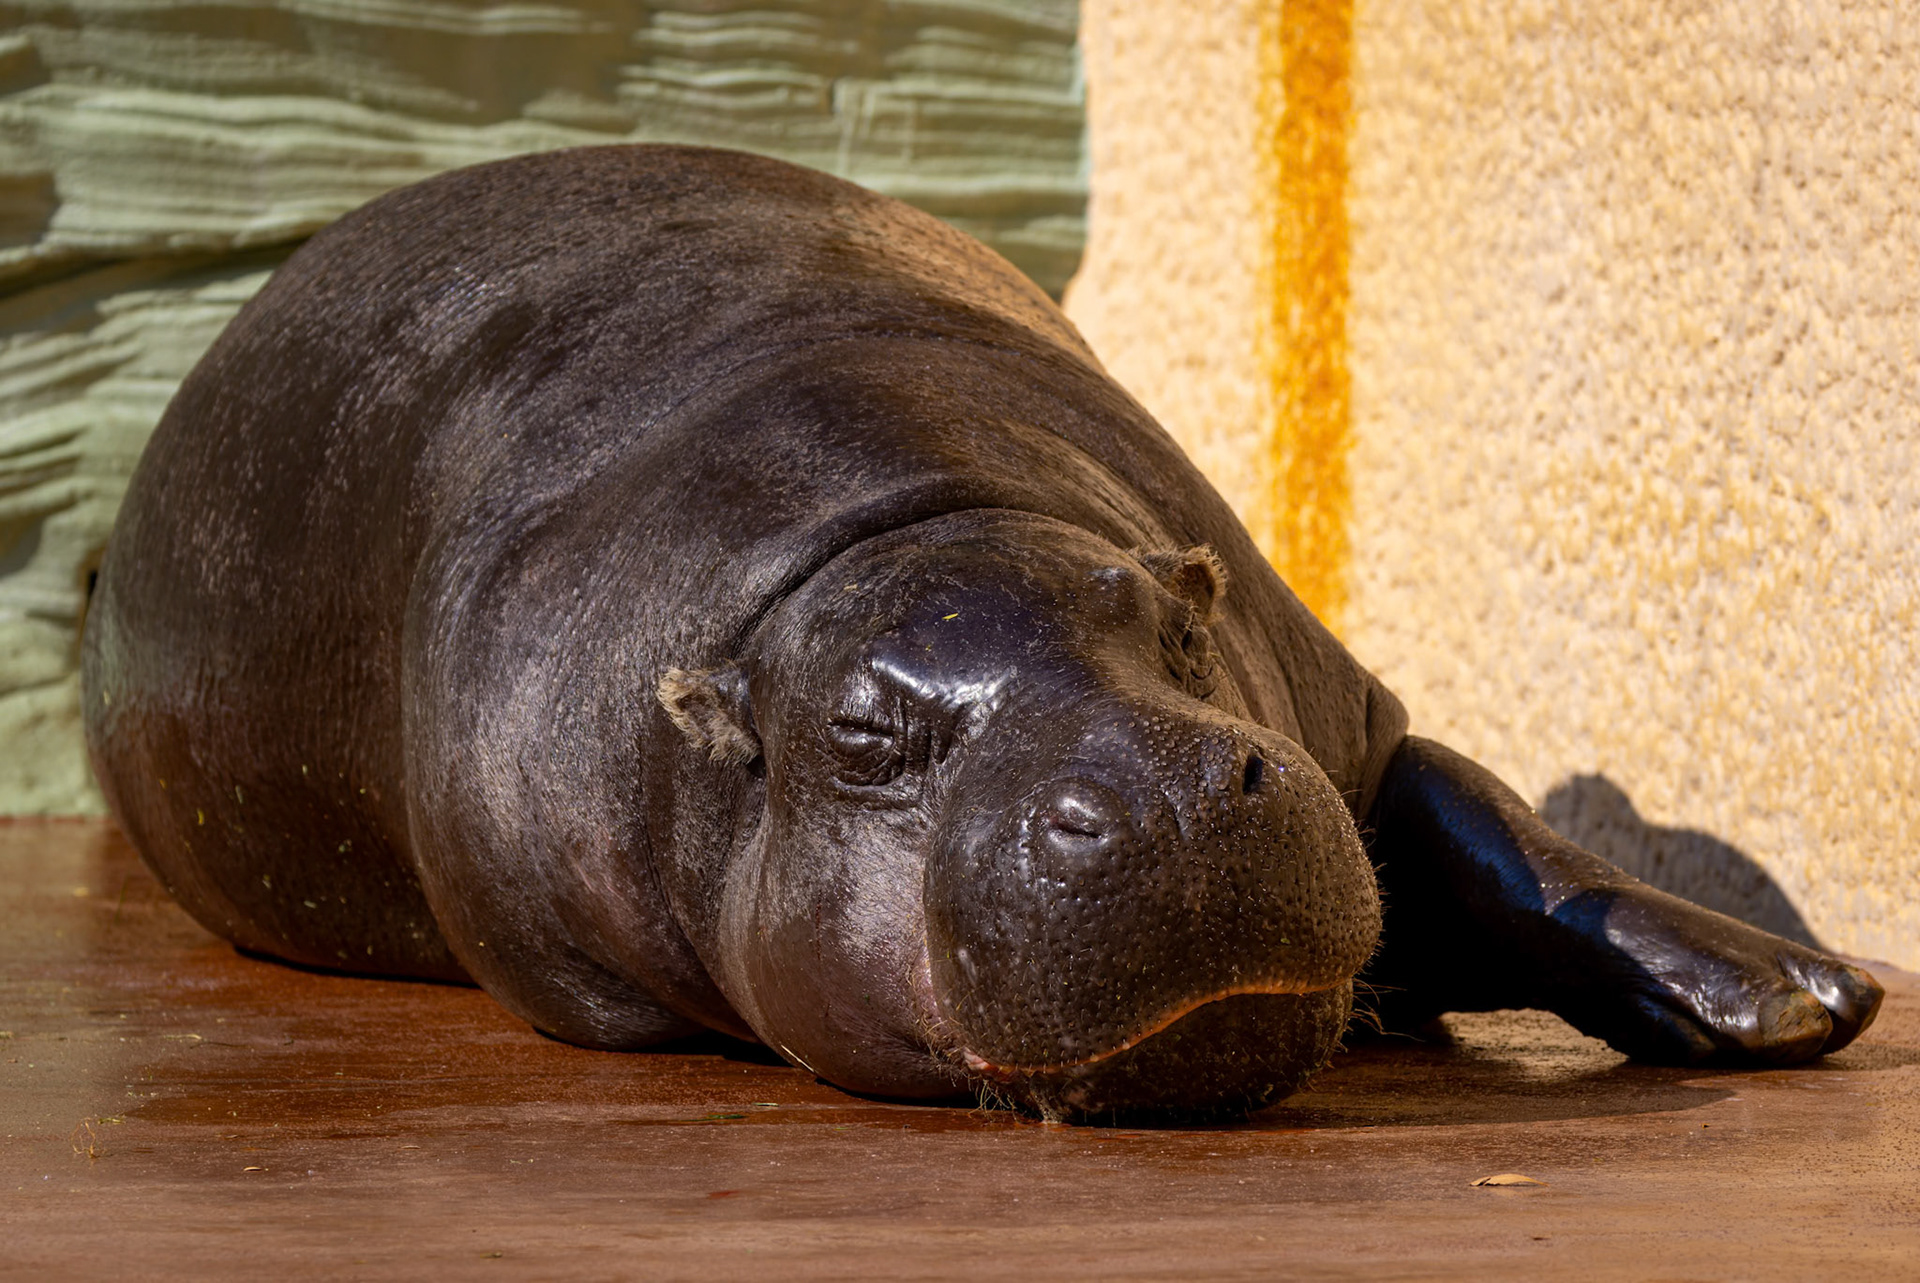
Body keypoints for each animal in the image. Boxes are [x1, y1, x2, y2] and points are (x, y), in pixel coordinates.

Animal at [81, 145, 1883, 1121]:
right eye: (862, 737)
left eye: (1176, 617)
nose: (1162, 790)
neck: (918, 516)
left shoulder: (1342, 711)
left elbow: (1500, 830)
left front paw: (1798, 997)